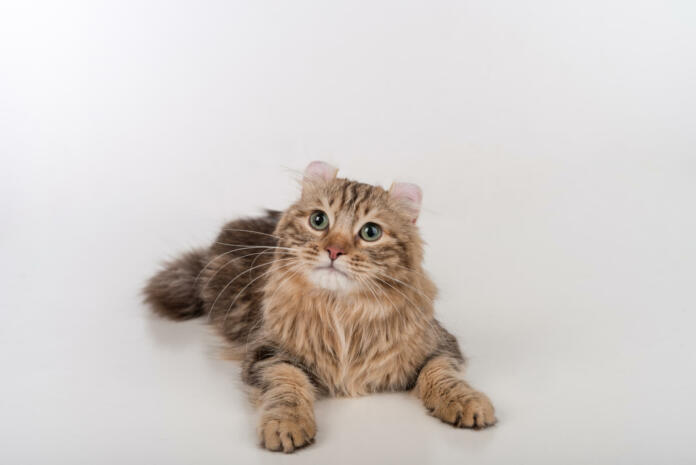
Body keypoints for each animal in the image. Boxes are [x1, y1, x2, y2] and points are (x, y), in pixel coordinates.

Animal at [144, 161, 498, 452]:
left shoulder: (441, 345)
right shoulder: (268, 353)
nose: (333, 251)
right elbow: (287, 387)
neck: (341, 310)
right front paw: (286, 425)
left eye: (371, 231)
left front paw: (467, 402)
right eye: (319, 220)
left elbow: (442, 376)